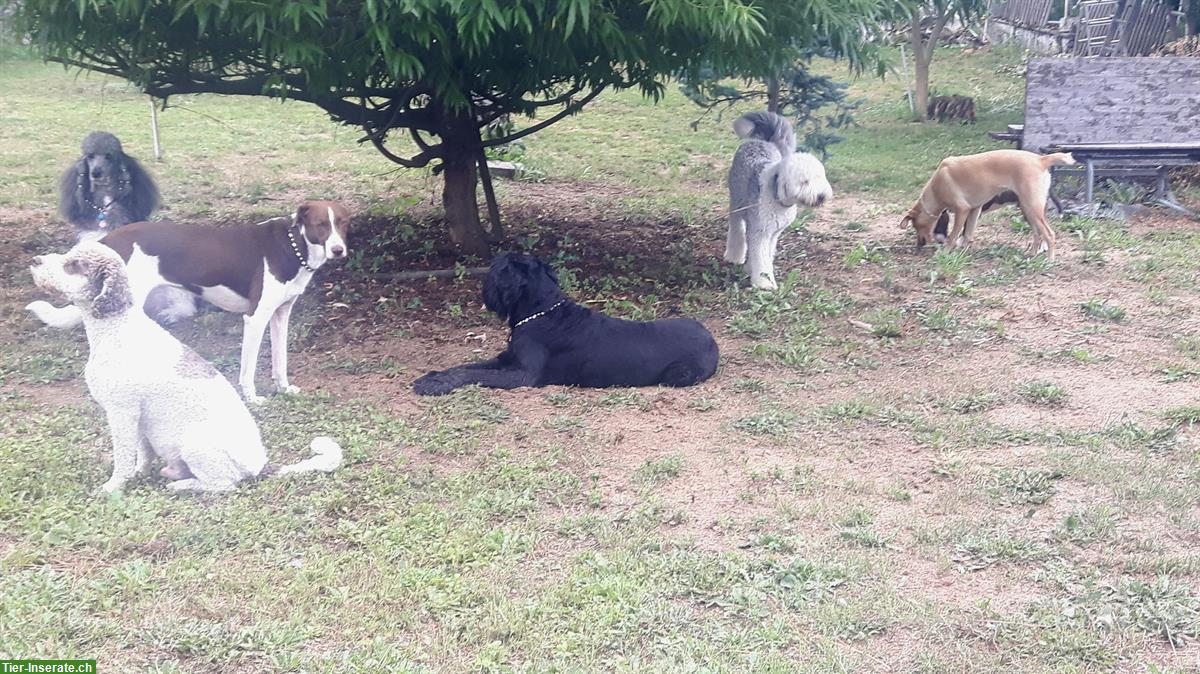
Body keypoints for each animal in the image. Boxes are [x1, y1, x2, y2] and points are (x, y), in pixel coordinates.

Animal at [27, 197, 350, 398]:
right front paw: (252, 398)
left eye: (342, 223)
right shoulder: (255, 318)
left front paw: (283, 389)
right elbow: (248, 369)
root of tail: (110, 240)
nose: (338, 250)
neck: (293, 245)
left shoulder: (280, 314)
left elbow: (280, 360)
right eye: (321, 225)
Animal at [27, 242, 343, 494]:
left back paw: (183, 485)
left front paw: (113, 487)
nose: (35, 260)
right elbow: (142, 453)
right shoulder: (138, 418)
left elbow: (123, 458)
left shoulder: (122, 413)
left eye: (74, 265)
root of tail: (260, 465)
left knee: (223, 485)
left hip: (197, 445)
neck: (117, 327)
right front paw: (140, 474)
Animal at [412, 251, 715, 393]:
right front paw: (434, 376)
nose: (484, 290)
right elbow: (467, 367)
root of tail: (712, 338)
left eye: (497, 269)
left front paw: (434, 385)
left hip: (678, 376)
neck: (541, 311)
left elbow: (474, 374)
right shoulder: (505, 359)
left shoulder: (522, 375)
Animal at [720, 110, 835, 289]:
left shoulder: (774, 233)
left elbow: (765, 254)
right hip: (736, 202)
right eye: (804, 181)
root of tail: (761, 141)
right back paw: (734, 256)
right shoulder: (760, 231)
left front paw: (752, 270)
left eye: (820, 177)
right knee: (737, 229)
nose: (821, 196)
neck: (776, 197)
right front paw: (765, 283)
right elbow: (760, 256)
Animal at [902, 149, 1080, 256]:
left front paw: (945, 252)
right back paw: (1031, 254)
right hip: (1029, 209)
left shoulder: (962, 210)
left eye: (916, 226)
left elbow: (953, 236)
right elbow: (967, 234)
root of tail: (1041, 159)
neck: (936, 187)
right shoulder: (974, 210)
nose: (919, 245)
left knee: (1049, 234)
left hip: (1032, 208)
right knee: (1038, 234)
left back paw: (1049, 260)